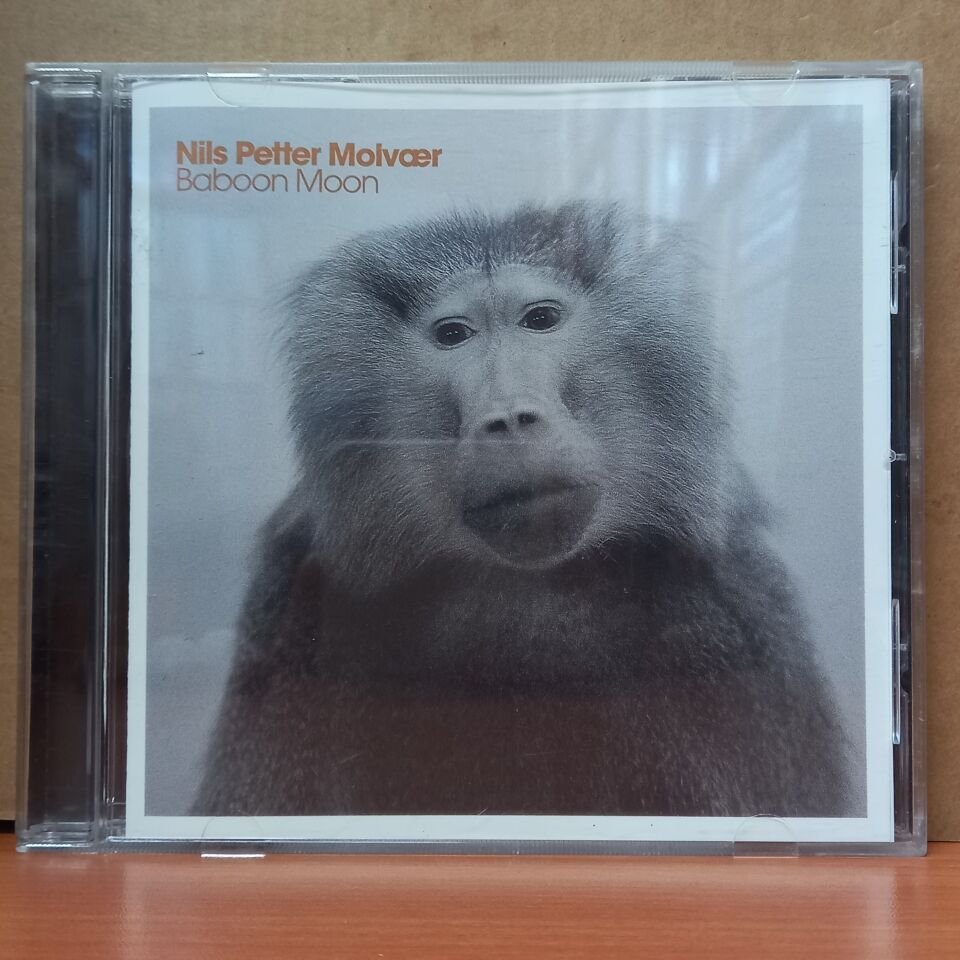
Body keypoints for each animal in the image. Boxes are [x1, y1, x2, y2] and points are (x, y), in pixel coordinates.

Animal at [193, 201, 856, 821]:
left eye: (540, 320)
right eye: (453, 335)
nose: (510, 417)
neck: (524, 588)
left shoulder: (734, 609)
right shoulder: (288, 605)